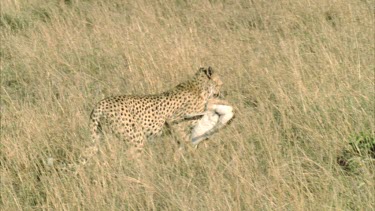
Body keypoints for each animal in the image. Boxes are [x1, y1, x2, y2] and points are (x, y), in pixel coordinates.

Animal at [88, 67, 231, 157]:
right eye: (221, 84)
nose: (223, 93)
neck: (200, 89)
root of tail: (101, 103)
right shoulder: (174, 121)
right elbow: (186, 141)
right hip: (137, 138)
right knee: (130, 156)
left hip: (99, 135)